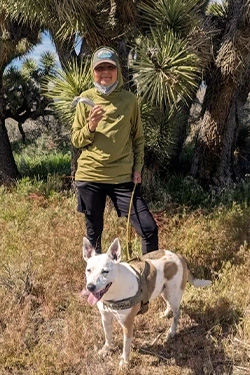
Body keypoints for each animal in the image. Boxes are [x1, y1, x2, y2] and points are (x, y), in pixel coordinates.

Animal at [83, 238, 212, 370]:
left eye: (105, 271)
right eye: (89, 270)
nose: (90, 287)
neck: (114, 291)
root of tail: (179, 256)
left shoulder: (127, 324)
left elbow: (126, 347)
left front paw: (124, 362)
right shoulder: (105, 318)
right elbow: (108, 336)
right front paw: (106, 350)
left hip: (173, 295)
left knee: (177, 314)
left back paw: (172, 331)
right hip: (164, 291)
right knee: (168, 304)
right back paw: (166, 314)